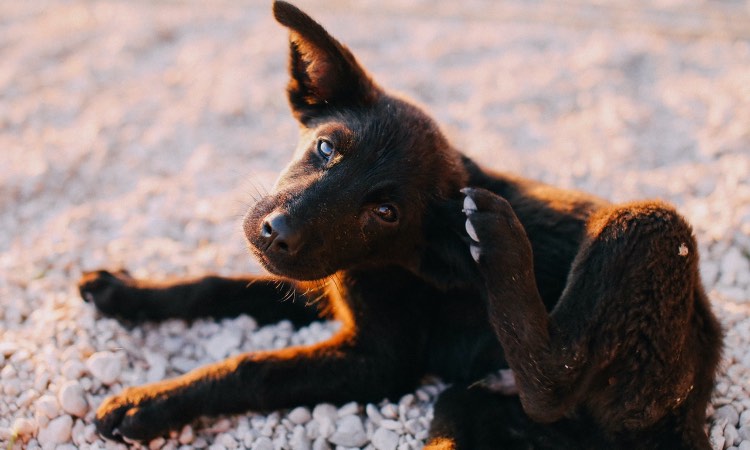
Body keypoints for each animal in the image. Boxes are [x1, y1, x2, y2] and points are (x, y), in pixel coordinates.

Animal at [76, 1, 724, 448]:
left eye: (385, 213)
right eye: (326, 148)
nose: (276, 232)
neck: (388, 261)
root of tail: (696, 393)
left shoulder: (379, 361)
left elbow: (255, 367)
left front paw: (150, 403)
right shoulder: (319, 287)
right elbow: (216, 286)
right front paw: (126, 292)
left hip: (650, 230)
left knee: (554, 381)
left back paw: (499, 243)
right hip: (477, 406)